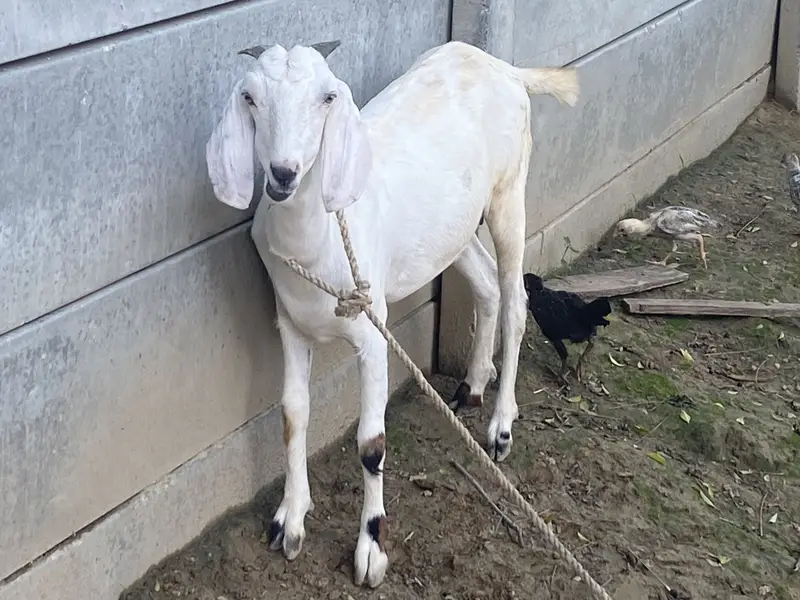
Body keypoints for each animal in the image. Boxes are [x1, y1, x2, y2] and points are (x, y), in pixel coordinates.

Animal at [205, 39, 579, 588]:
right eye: (250, 97)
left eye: (327, 97)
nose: (283, 173)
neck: (319, 241)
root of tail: (504, 68)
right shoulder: (290, 323)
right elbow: (293, 415)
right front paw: (289, 522)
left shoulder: (372, 331)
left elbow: (371, 442)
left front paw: (371, 550)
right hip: (452, 230)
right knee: (488, 285)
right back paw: (472, 385)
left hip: (509, 194)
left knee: (516, 301)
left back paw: (501, 426)